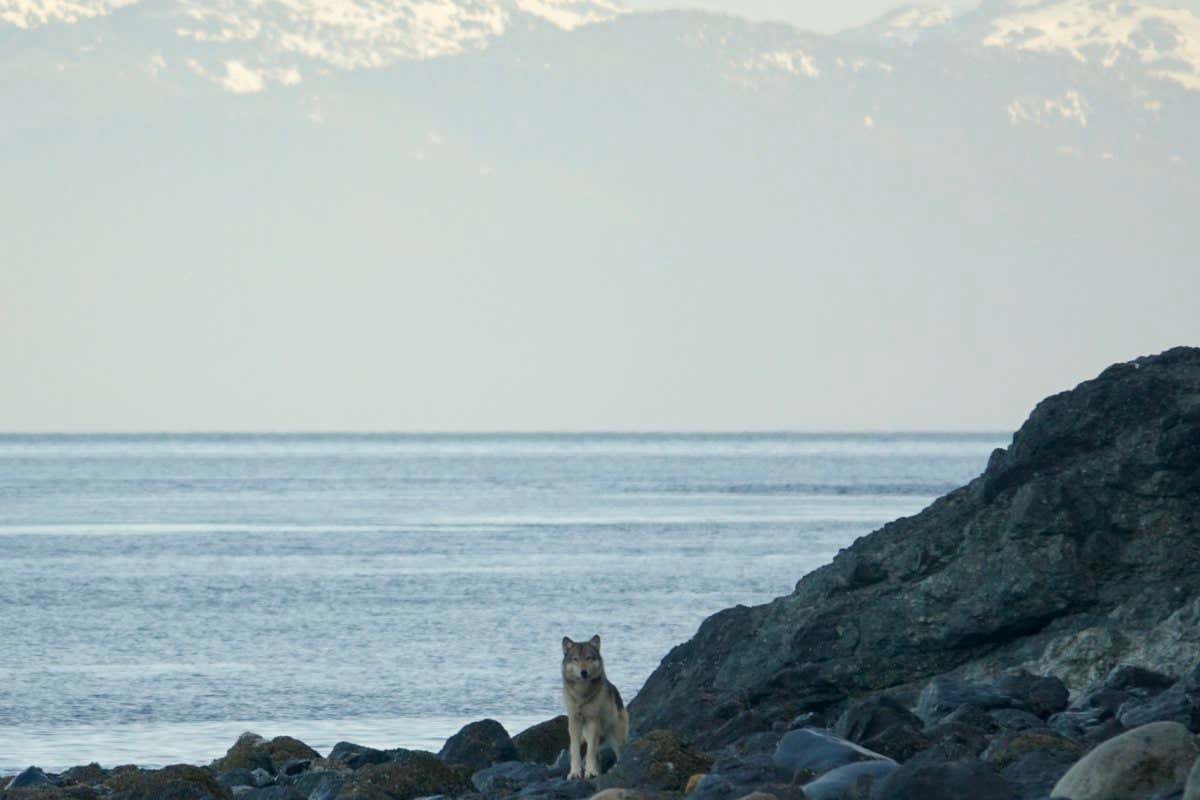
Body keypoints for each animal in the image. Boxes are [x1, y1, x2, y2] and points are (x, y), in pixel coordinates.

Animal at [562, 635, 629, 779]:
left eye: (589, 658)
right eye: (576, 659)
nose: (584, 672)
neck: (582, 694)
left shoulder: (593, 720)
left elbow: (590, 751)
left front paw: (591, 772)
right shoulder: (574, 721)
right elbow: (575, 750)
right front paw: (574, 773)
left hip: (614, 736)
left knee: (619, 753)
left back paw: (613, 769)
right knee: (598, 753)